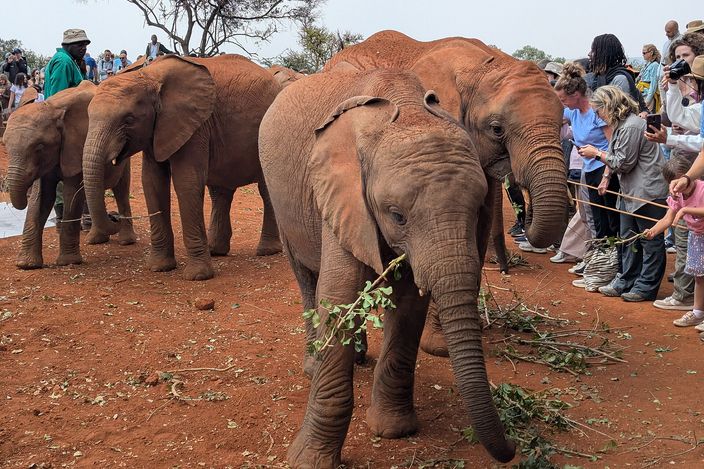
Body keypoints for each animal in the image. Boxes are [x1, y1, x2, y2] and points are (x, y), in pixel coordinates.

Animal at [3, 80, 136, 269]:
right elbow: (41, 198)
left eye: (39, 147)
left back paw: (126, 241)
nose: (114, 217)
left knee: (121, 189)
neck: (52, 108)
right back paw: (95, 240)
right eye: (5, 145)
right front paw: (26, 265)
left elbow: (71, 195)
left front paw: (68, 262)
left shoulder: (76, 146)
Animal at [82, 54, 283, 281]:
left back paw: (267, 251)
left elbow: (186, 181)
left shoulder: (195, 126)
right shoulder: (158, 130)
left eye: (129, 119)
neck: (149, 75)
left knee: (266, 190)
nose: (114, 217)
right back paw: (216, 250)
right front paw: (159, 267)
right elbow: (152, 182)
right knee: (220, 192)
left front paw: (198, 276)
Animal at [259, 67, 516, 466]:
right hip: (281, 201)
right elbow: (337, 295)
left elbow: (408, 305)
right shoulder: (341, 195)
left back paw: (359, 357)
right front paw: (308, 460)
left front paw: (394, 430)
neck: (407, 111)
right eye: (397, 216)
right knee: (306, 279)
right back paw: (313, 366)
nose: (513, 449)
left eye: (477, 211)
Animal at [325, 30, 569, 354]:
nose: (524, 227)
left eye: (563, 122)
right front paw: (437, 347)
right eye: (496, 129)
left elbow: (476, 231)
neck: (481, 65)